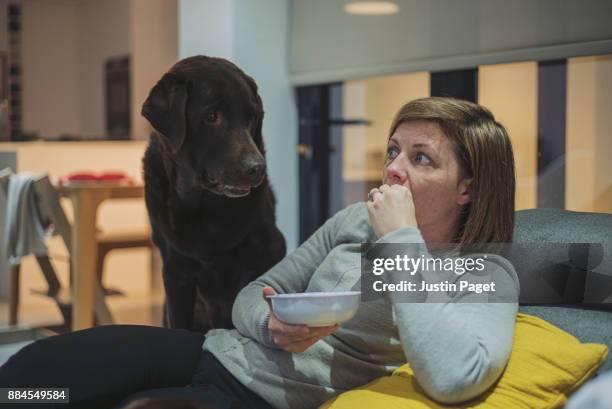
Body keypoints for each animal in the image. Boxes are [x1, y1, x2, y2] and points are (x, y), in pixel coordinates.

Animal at [142, 55, 286, 332]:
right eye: (211, 116)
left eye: (251, 117)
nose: (257, 168)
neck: (202, 206)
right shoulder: (175, 270)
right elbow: (179, 323)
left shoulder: (268, 251)